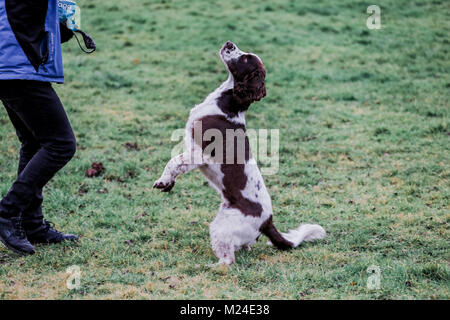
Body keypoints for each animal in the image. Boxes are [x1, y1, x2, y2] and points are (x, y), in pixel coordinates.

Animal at [153, 41, 326, 264]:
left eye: (245, 58)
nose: (229, 43)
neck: (226, 104)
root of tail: (268, 222)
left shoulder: (201, 153)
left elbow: (174, 161)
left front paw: (162, 181)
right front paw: (169, 183)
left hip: (223, 226)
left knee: (229, 259)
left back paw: (214, 267)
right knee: (244, 246)